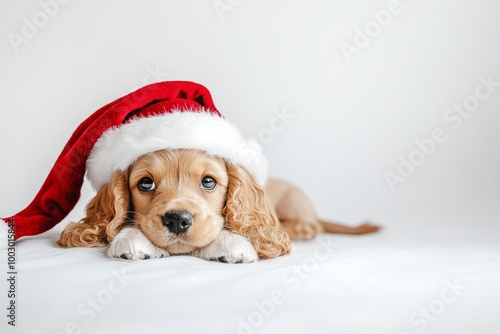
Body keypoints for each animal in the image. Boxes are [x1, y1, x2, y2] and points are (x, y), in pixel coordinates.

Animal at [57, 149, 378, 264]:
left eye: (209, 182)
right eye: (145, 184)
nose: (177, 220)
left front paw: (231, 244)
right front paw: (133, 239)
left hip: (294, 198)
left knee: (309, 226)